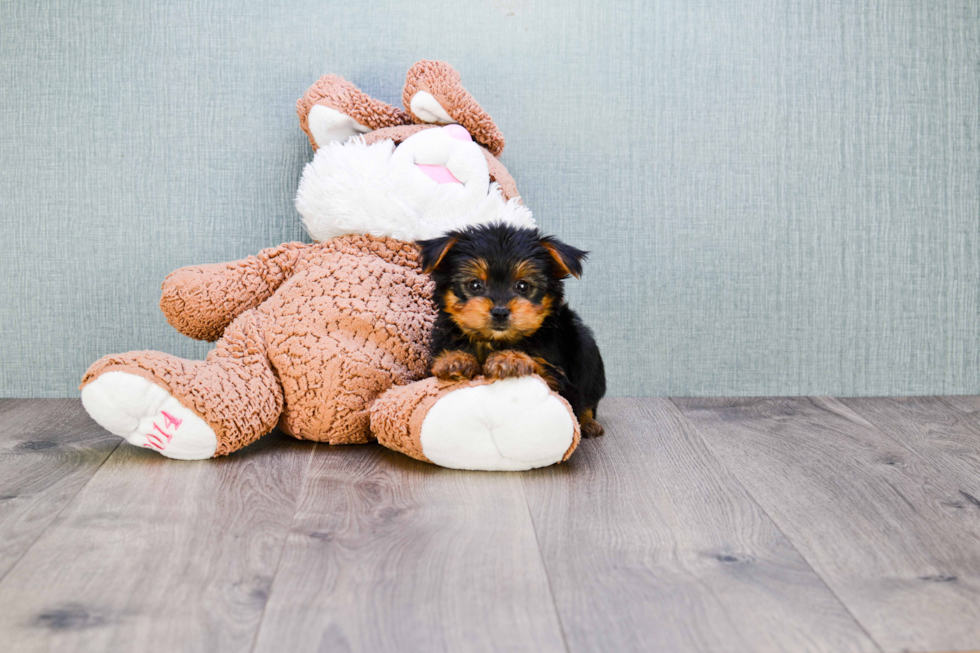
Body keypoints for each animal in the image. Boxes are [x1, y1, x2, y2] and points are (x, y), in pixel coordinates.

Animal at [420, 223, 604, 438]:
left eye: (522, 286)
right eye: (475, 284)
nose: (500, 312)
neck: (494, 341)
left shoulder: (563, 383)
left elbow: (545, 370)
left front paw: (510, 359)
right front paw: (454, 359)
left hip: (586, 349)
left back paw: (589, 423)